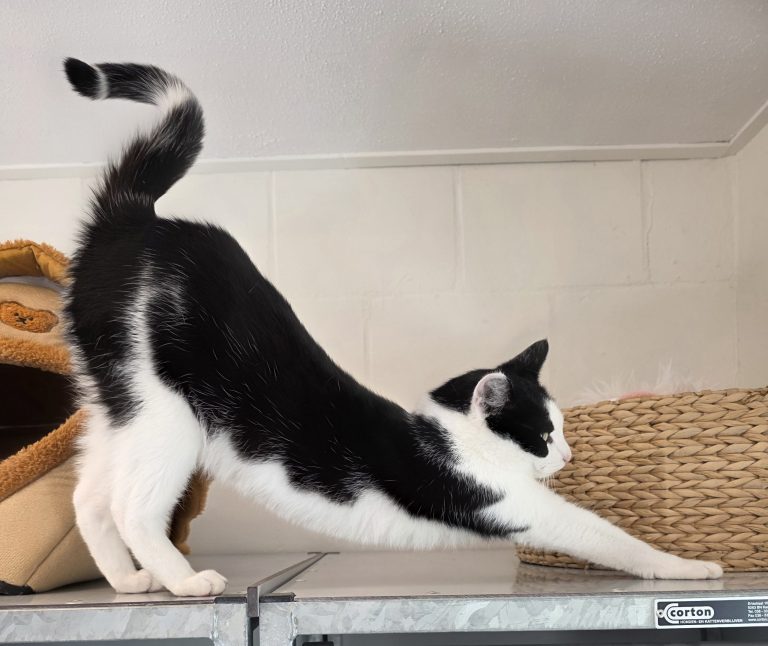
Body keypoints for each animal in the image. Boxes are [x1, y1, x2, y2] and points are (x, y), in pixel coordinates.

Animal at [62, 58, 723, 597]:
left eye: (560, 429)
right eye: (542, 435)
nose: (567, 453)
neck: (450, 439)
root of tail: (137, 218)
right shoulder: (516, 504)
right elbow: (606, 535)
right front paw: (689, 566)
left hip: (114, 403)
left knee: (86, 497)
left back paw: (129, 580)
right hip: (165, 414)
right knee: (131, 506)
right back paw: (184, 580)